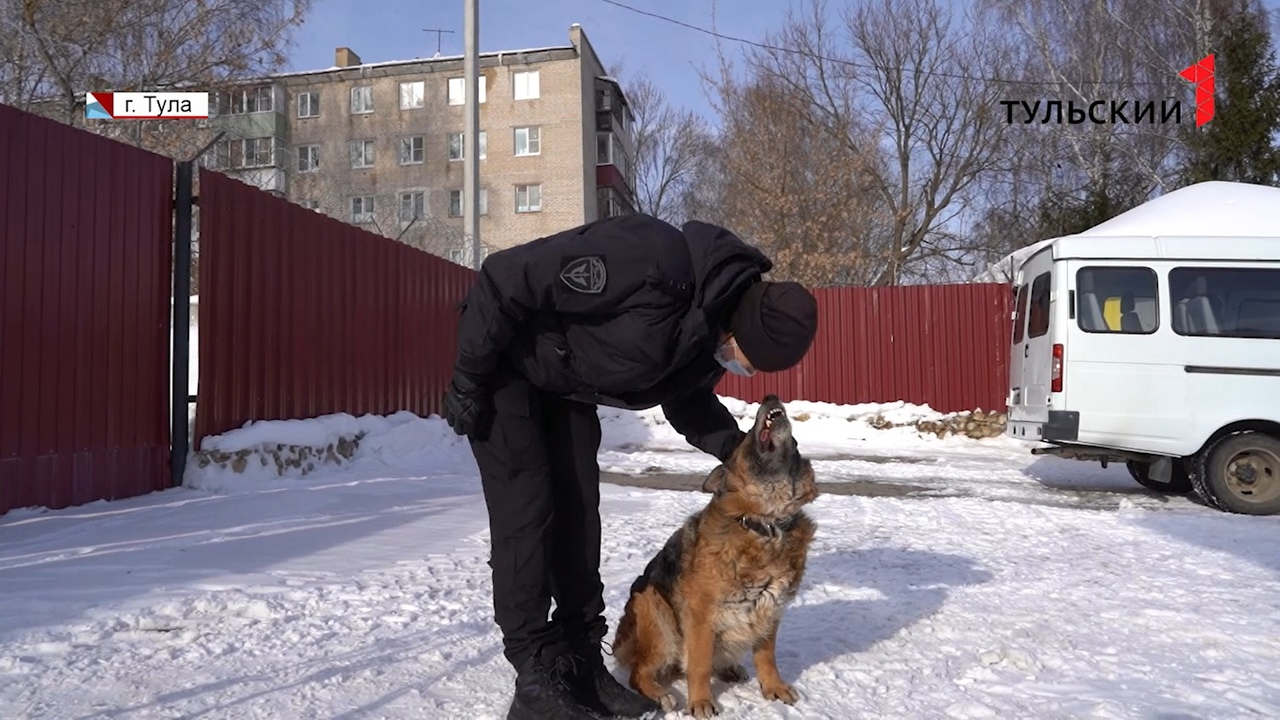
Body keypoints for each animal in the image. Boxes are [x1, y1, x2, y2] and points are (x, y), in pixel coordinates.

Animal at [611, 394, 819, 712]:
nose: (770, 396)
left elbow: (766, 657)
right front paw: (700, 702)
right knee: (640, 672)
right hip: (655, 612)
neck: (767, 524)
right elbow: (699, 664)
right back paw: (660, 693)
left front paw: (773, 687)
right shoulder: (701, 614)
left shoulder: (770, 609)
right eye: (747, 436)